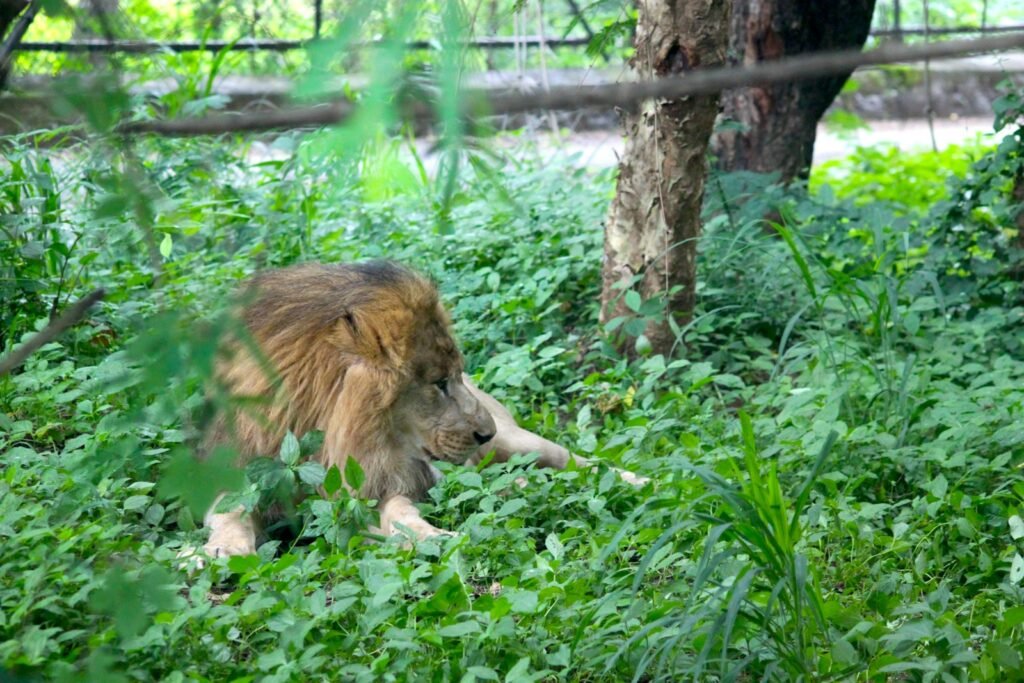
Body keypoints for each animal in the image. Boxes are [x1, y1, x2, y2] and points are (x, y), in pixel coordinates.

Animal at [197, 260, 645, 559]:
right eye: (439, 383)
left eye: (456, 376)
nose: (485, 433)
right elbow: (229, 513)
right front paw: (217, 551)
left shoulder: (384, 483)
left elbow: (399, 514)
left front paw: (433, 538)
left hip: (521, 443)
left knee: (581, 462)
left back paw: (638, 481)